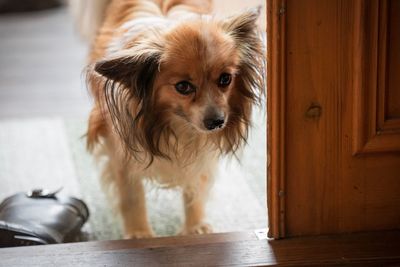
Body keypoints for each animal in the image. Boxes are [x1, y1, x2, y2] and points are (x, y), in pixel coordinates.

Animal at [79, 0, 264, 239]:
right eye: (183, 87)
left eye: (225, 79)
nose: (216, 122)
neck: (176, 126)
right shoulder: (120, 152)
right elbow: (131, 196)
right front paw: (139, 233)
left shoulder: (201, 151)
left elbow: (194, 187)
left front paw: (196, 227)